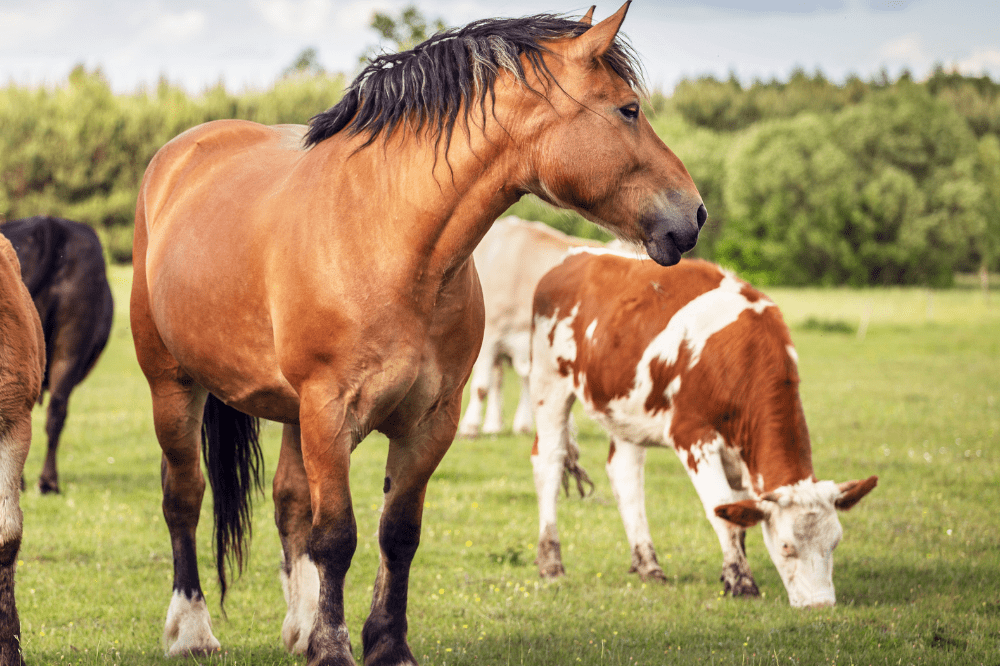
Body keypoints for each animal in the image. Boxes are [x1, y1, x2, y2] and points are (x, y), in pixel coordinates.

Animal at [529, 250, 877, 608]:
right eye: (786, 546)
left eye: (835, 542)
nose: (820, 604)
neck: (741, 357)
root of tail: (579, 255)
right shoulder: (693, 436)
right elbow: (722, 513)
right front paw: (741, 582)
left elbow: (737, 518)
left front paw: (730, 572)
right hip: (549, 383)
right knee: (549, 462)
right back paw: (551, 563)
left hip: (623, 408)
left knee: (625, 476)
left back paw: (649, 565)